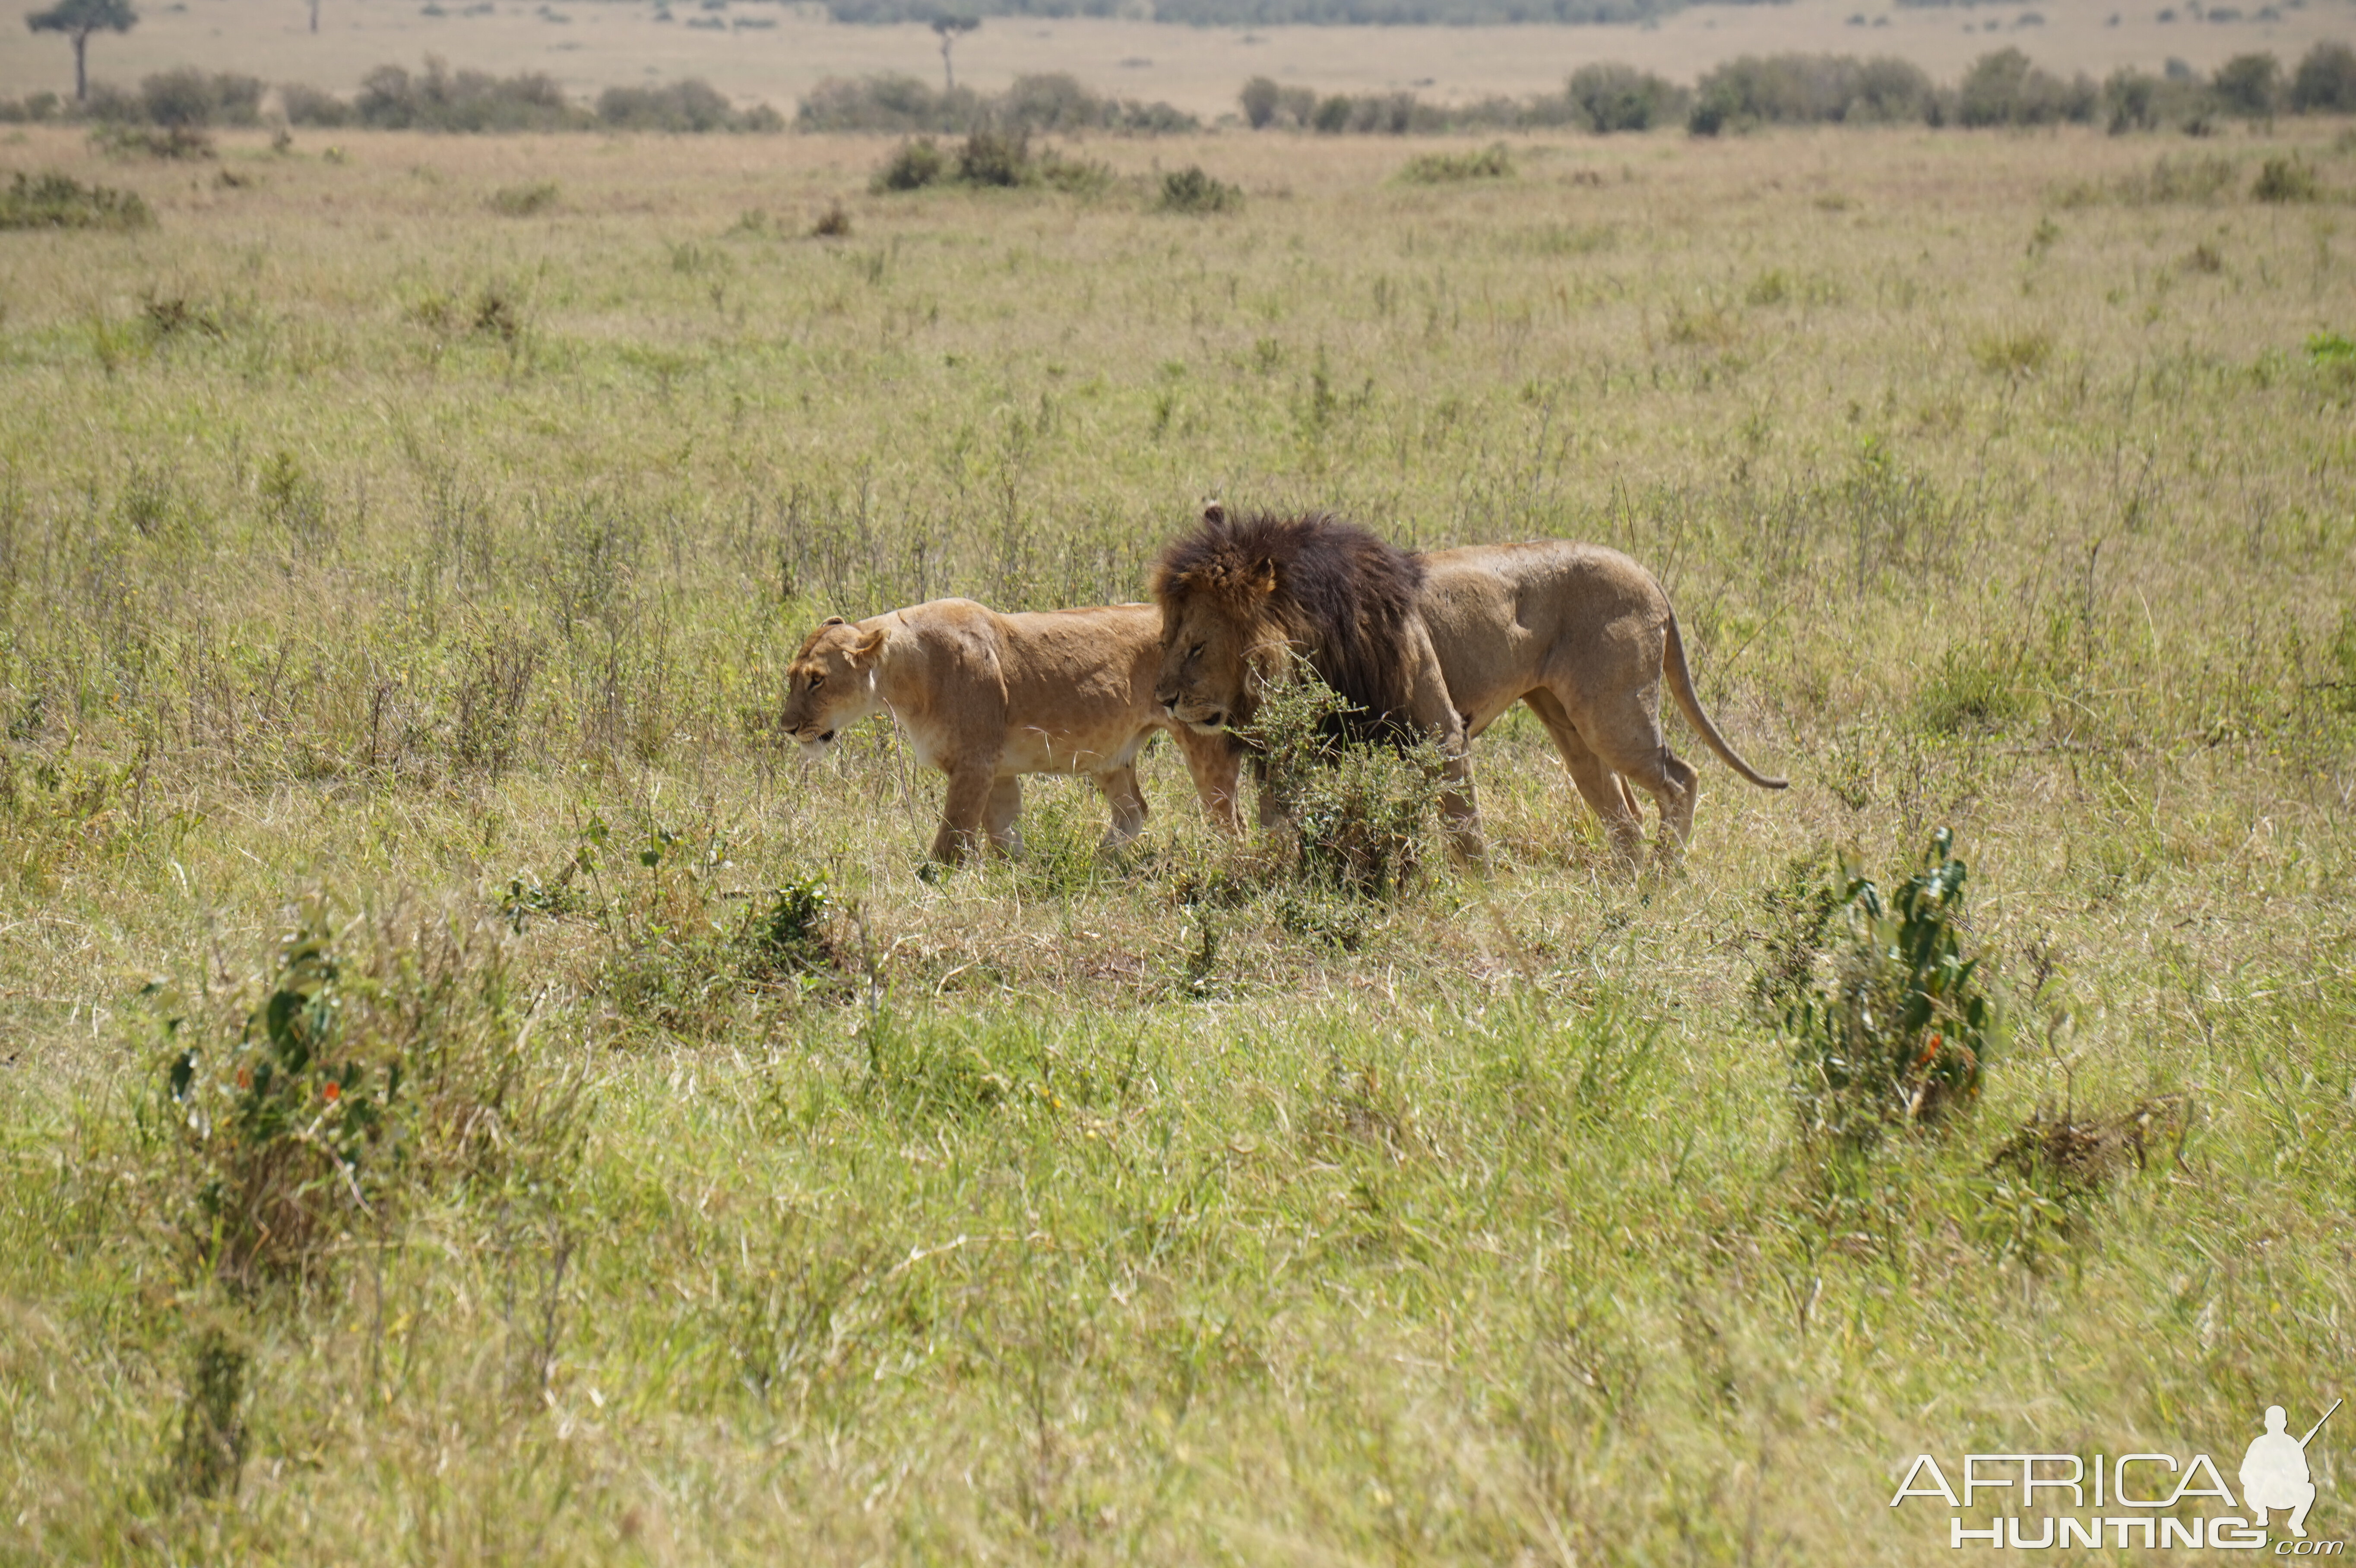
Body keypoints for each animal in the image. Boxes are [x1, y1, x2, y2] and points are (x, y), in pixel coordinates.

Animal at [782, 598, 1244, 866]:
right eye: (791, 677)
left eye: (817, 680)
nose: (787, 728)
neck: (905, 677)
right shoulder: (997, 770)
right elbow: (1003, 832)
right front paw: (1017, 874)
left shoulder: (974, 764)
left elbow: (952, 838)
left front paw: (932, 883)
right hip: (1110, 755)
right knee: (1134, 811)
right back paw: (1099, 862)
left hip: (1203, 736)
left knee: (1228, 819)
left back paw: (1228, 867)